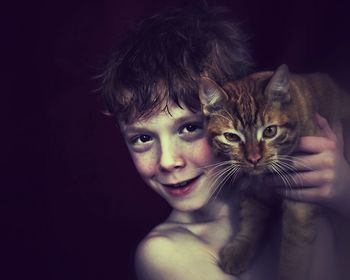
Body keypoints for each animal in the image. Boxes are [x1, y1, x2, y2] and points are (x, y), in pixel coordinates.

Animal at [198, 64, 348, 280]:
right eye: (231, 137)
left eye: (270, 131)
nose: (253, 159)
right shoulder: (252, 190)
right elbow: (251, 222)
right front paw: (241, 249)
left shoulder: (300, 203)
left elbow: (294, 251)